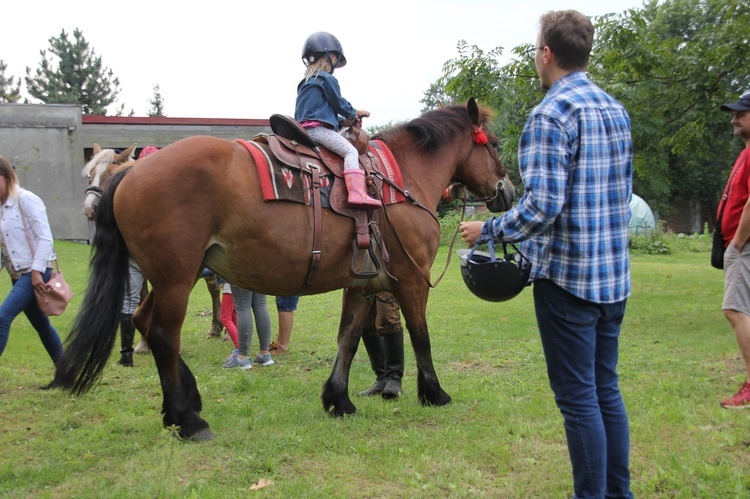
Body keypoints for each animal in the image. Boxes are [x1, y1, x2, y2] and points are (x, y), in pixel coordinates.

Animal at [54, 98, 516, 442]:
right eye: (493, 142)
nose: (507, 191)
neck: (397, 181)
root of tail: (132, 175)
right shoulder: (411, 279)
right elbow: (420, 335)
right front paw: (434, 392)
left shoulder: (363, 284)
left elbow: (348, 338)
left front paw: (338, 399)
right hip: (174, 281)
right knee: (164, 337)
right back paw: (189, 420)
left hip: (168, 281)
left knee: (144, 322)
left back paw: (179, 406)